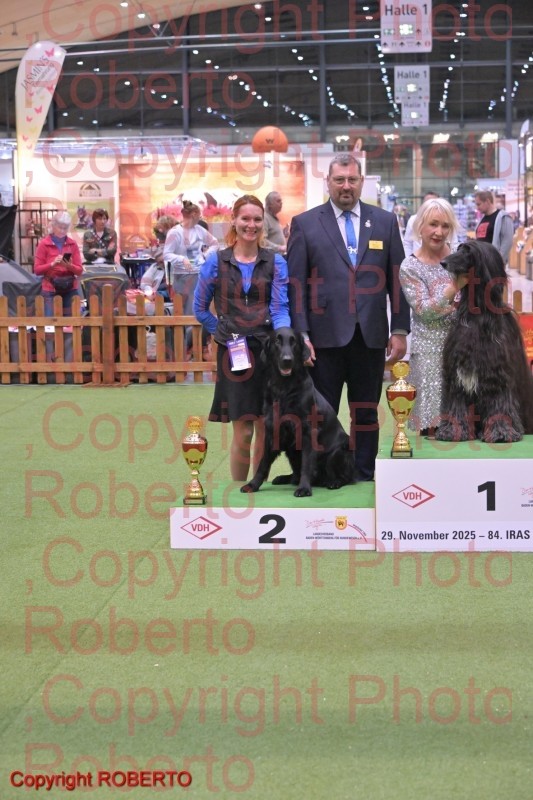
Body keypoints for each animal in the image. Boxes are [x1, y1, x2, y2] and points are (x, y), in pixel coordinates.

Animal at [240, 327, 357, 497]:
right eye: (277, 341)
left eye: (294, 342)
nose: (287, 360)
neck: (284, 388)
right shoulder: (272, 431)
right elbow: (263, 463)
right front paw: (253, 484)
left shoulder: (308, 432)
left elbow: (306, 464)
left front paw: (304, 488)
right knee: (295, 474)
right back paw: (284, 478)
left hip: (340, 450)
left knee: (348, 477)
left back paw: (334, 482)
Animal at [436, 240, 533, 443]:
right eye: (458, 249)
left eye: (468, 252)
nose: (443, 262)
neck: (479, 314)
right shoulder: (458, 374)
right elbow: (457, 402)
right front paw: (453, 431)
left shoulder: (498, 374)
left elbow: (499, 402)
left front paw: (501, 432)